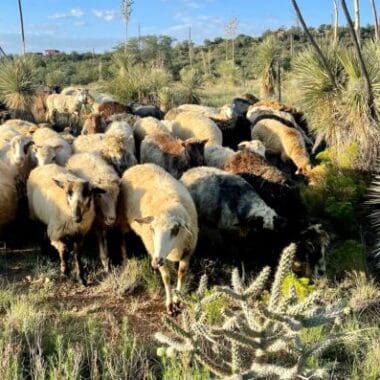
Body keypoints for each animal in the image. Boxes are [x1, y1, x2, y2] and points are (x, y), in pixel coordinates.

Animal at [119, 163, 199, 314]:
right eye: (152, 229)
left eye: (175, 230)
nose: (156, 262)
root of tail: (139, 165)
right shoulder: (155, 251)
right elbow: (167, 277)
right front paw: (170, 305)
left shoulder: (188, 251)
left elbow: (182, 273)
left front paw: (178, 300)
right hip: (125, 222)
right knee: (123, 239)